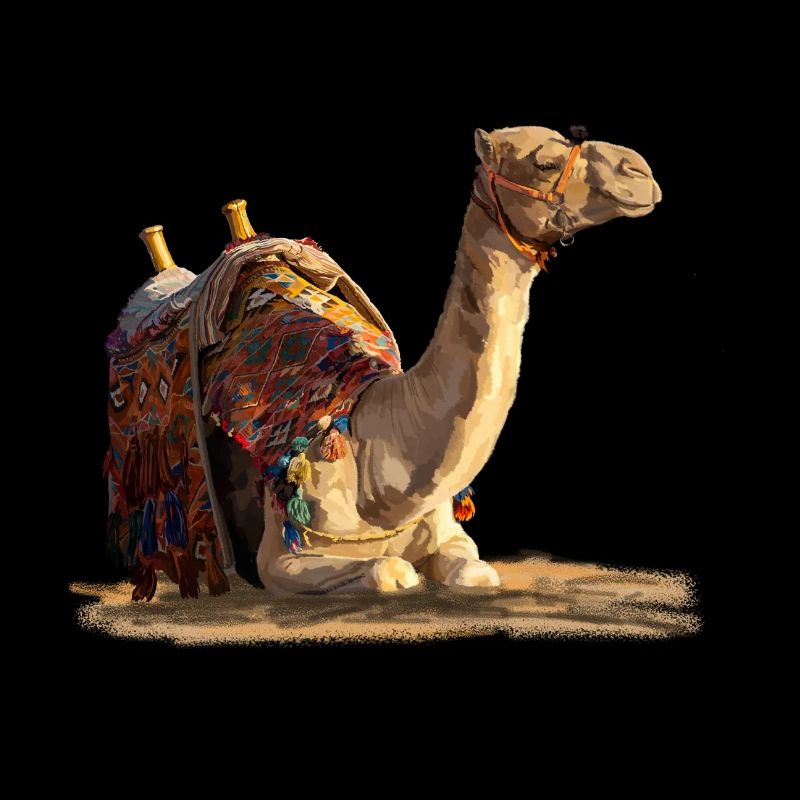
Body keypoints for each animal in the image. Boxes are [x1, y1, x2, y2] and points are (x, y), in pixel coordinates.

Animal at [108, 125, 661, 598]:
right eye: (544, 162)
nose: (640, 171)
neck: (383, 472)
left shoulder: (450, 533)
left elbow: (473, 570)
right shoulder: (281, 558)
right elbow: (392, 572)